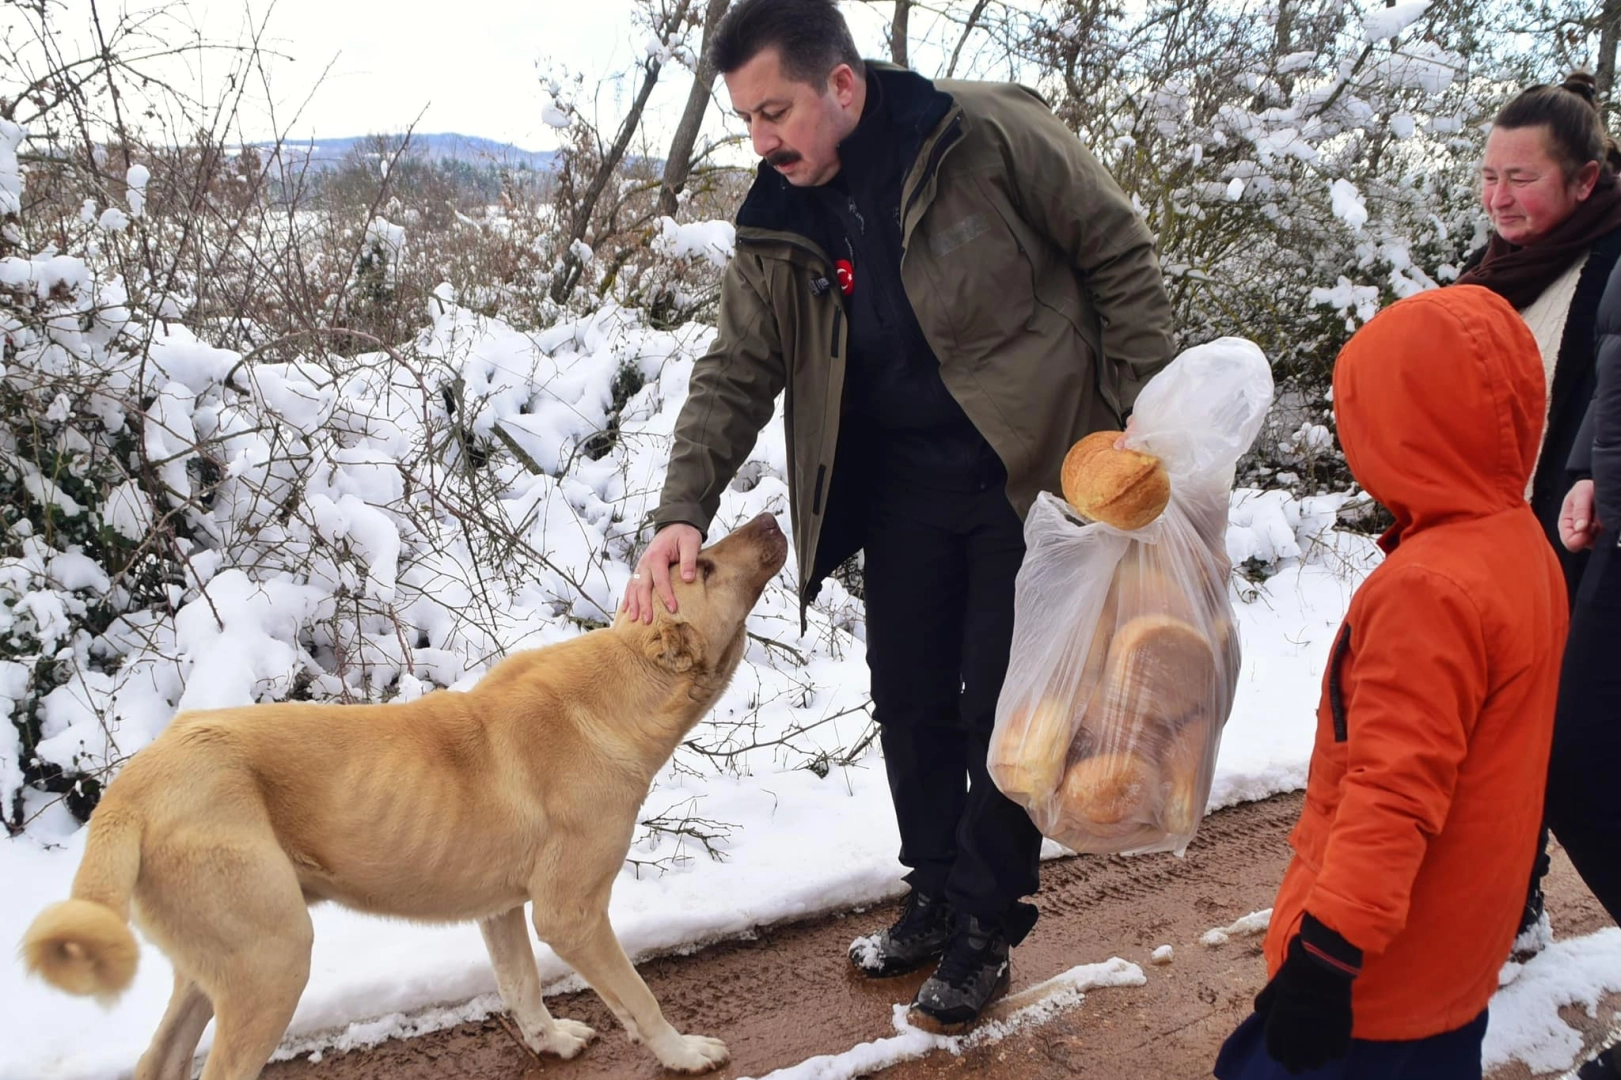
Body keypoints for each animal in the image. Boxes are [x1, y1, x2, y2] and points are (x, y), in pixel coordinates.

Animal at [17, 509, 791, 1070]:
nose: (771, 515)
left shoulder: (501, 910)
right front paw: (682, 1052)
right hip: (272, 961)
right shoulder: (569, 915)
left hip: (215, 969)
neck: (626, 681)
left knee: (161, 1059)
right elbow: (636, 994)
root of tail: (131, 787)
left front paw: (548, 1043)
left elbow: (520, 984)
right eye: (706, 564)